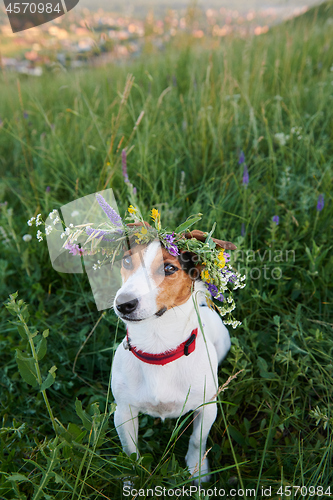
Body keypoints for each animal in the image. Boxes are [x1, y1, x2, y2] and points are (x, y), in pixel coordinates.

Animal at [111, 229, 236, 482]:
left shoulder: (208, 407)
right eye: (127, 261)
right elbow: (130, 453)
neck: (158, 349)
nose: (123, 303)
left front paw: (198, 471)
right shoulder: (123, 412)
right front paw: (133, 480)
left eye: (169, 268)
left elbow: (198, 440)